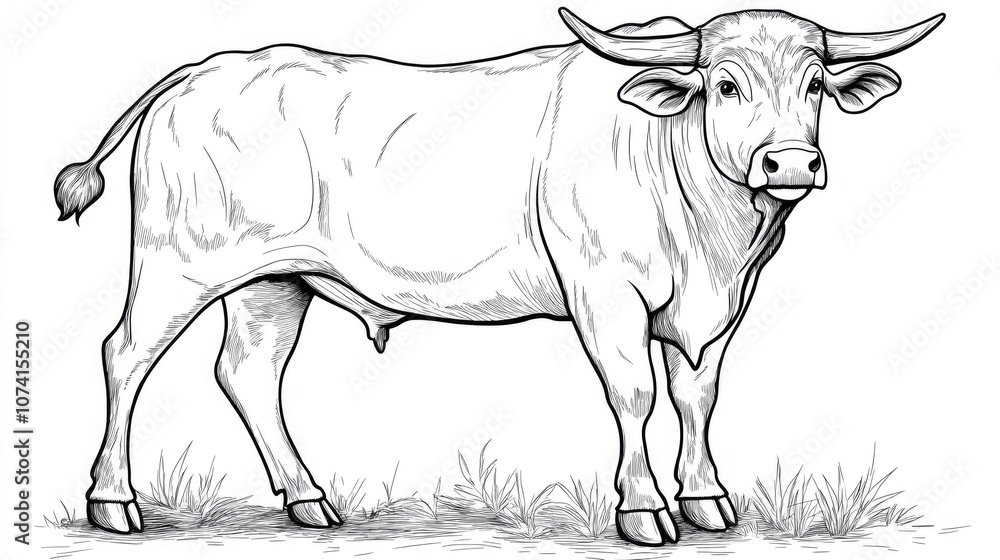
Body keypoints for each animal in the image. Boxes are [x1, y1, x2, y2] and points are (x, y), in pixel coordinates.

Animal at [54, 8, 943, 545]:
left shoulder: (716, 309)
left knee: (248, 372)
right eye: (724, 85)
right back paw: (114, 503)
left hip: (273, 282)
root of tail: (208, 68)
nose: (791, 162)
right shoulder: (605, 293)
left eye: (816, 85)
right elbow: (635, 394)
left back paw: (309, 501)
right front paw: (644, 508)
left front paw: (706, 500)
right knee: (125, 355)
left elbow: (697, 396)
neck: (710, 235)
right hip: (177, 266)